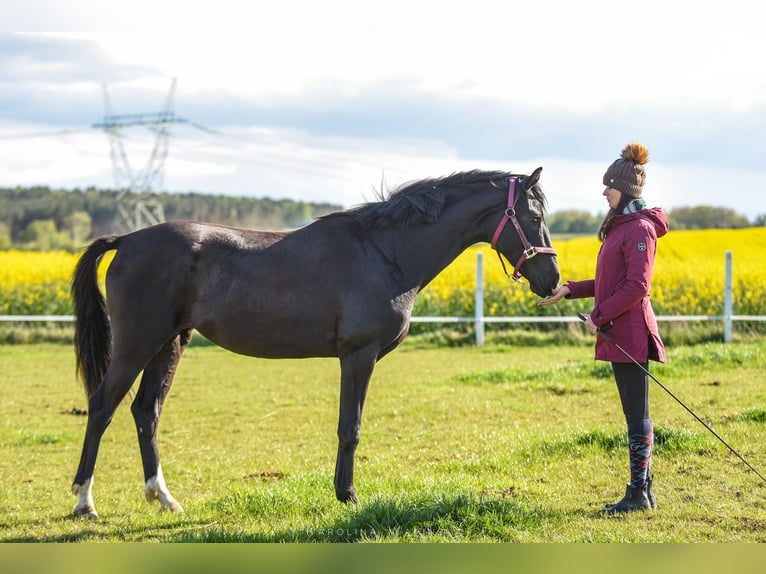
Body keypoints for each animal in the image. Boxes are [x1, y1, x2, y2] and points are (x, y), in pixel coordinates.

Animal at [70, 169, 560, 520]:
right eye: (533, 219)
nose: (552, 279)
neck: (384, 252)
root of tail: (127, 239)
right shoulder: (358, 356)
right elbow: (350, 428)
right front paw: (348, 495)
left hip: (170, 343)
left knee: (145, 412)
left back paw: (163, 498)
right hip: (137, 345)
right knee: (102, 407)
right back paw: (84, 502)